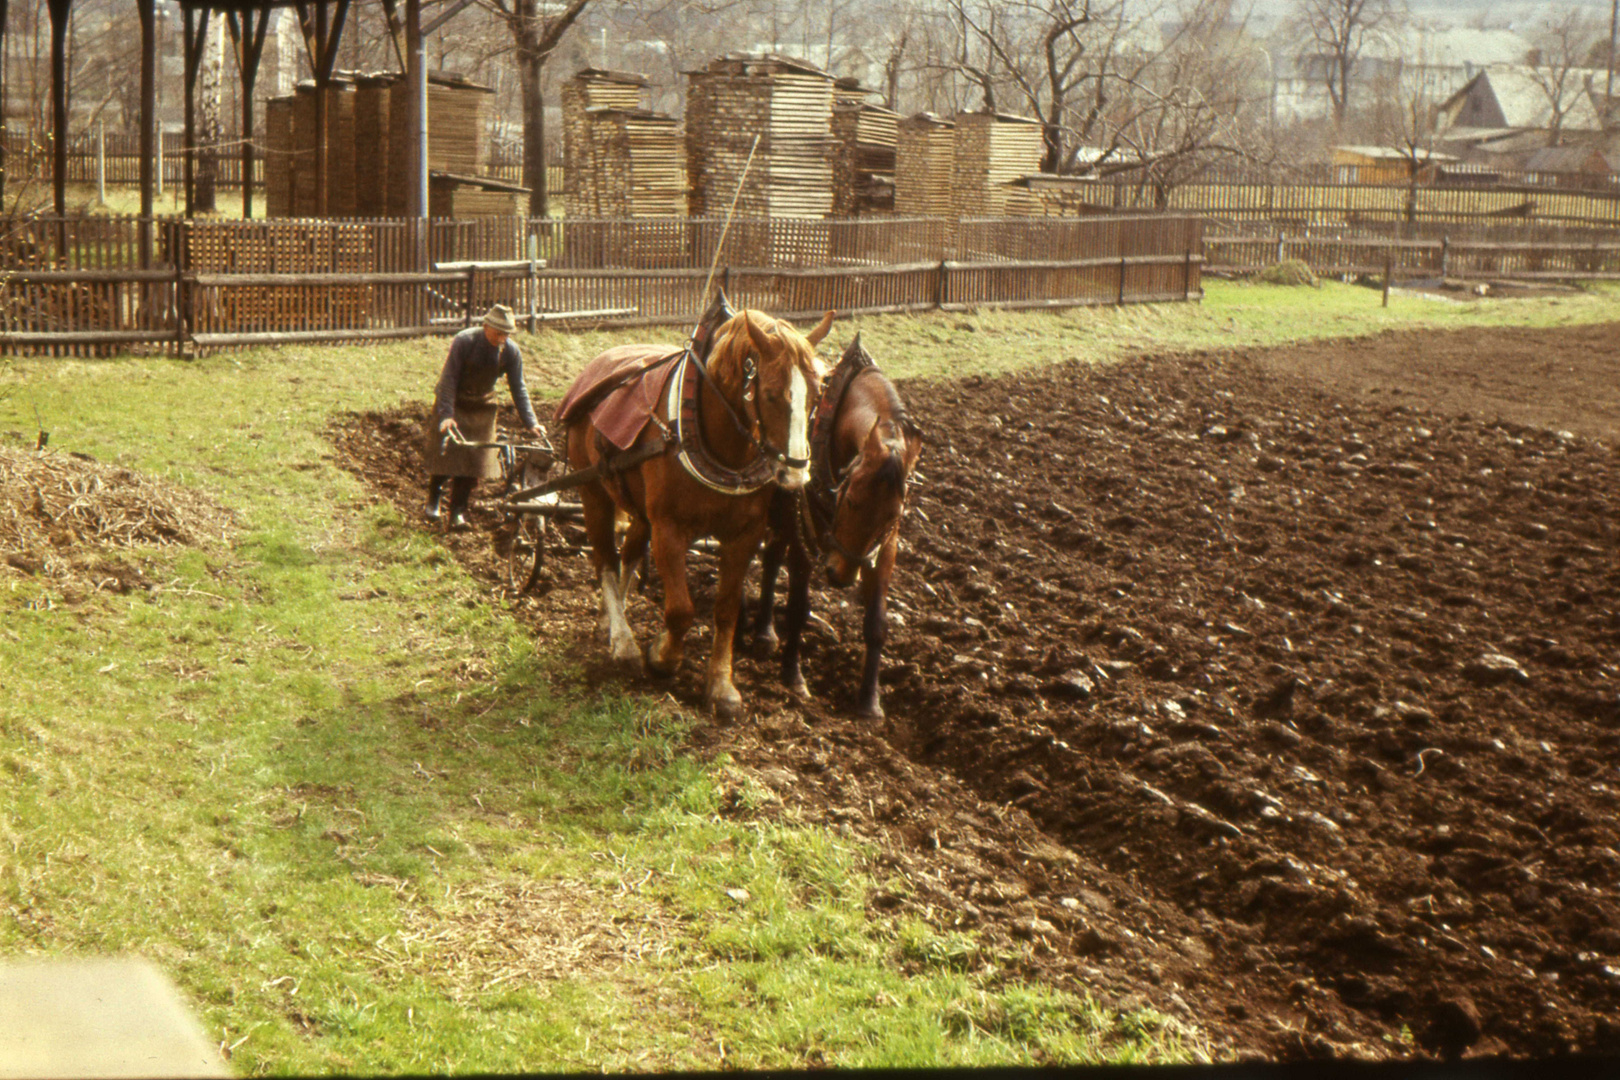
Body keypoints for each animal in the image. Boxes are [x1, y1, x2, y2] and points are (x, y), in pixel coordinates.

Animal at [563, 307, 835, 722]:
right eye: (771, 394)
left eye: (817, 394)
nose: (795, 474)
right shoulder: (668, 531)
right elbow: (680, 609)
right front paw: (662, 656)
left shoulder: (743, 536)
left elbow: (725, 610)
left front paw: (722, 687)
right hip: (593, 493)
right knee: (605, 561)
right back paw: (622, 641)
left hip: (638, 510)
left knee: (629, 554)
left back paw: (611, 619)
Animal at [751, 333, 920, 722]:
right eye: (852, 499)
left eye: (892, 516)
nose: (842, 576)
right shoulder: (805, 537)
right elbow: (798, 605)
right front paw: (793, 676)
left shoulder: (884, 549)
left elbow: (877, 623)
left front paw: (870, 702)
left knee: (771, 559)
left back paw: (765, 632)